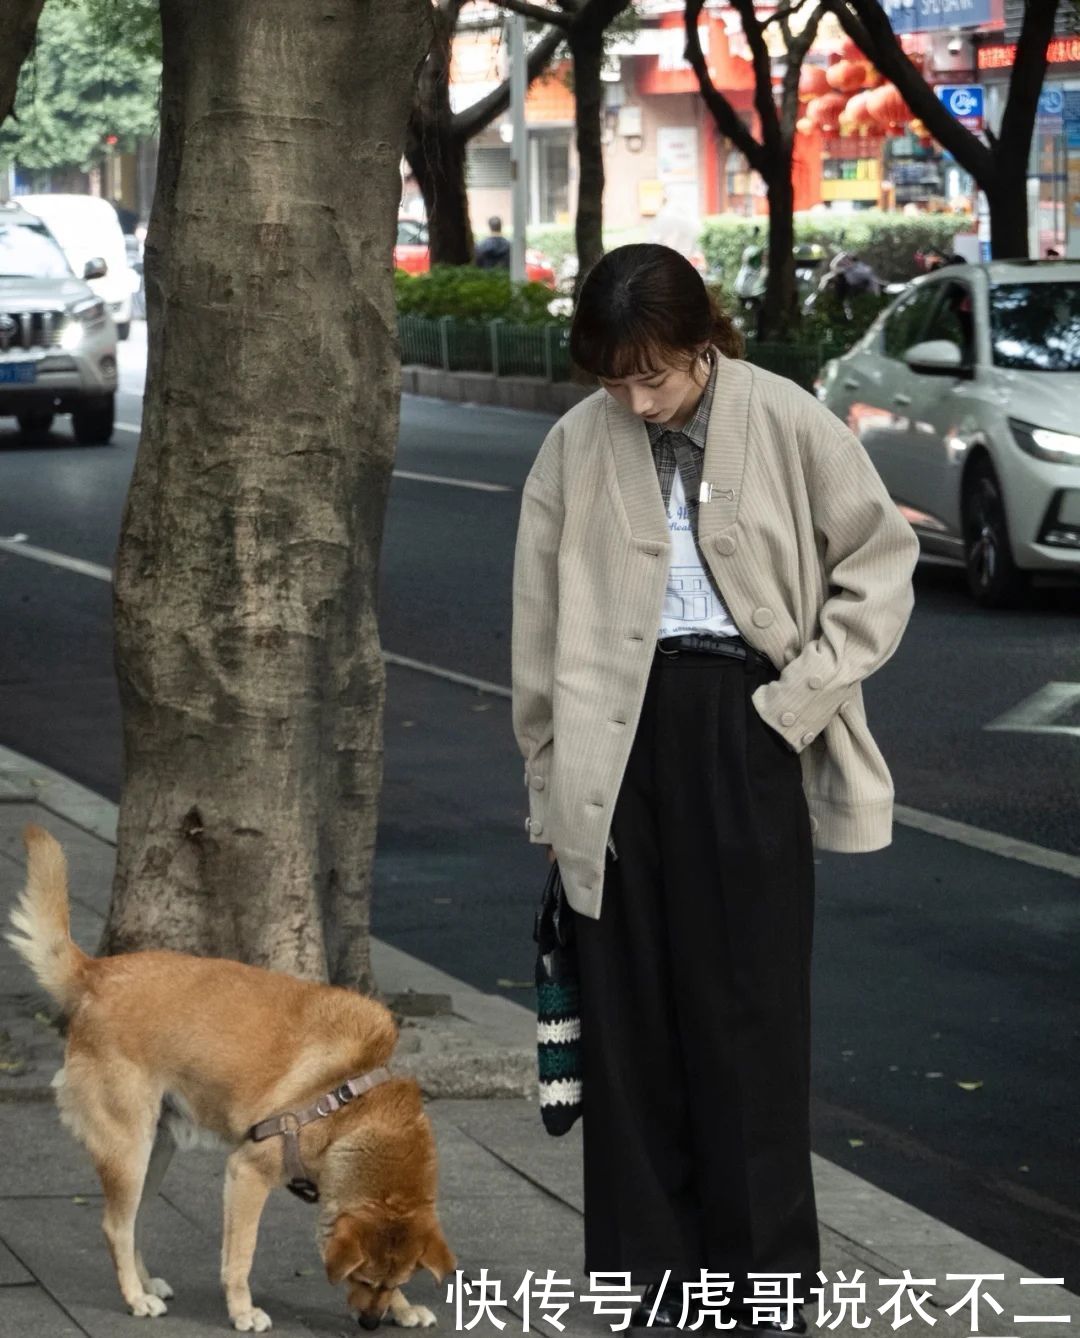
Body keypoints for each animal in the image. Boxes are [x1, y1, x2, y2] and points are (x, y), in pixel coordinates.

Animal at [5, 824, 452, 1327]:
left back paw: (145, 1283)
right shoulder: (247, 1173)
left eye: (392, 1281)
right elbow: (240, 1256)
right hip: (130, 1150)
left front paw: (405, 1308)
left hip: (155, 1149)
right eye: (364, 1279)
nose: (371, 1323)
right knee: (115, 1226)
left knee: (134, 1221)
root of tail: (94, 974)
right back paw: (135, 1297)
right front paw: (242, 1310)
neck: (351, 1101)